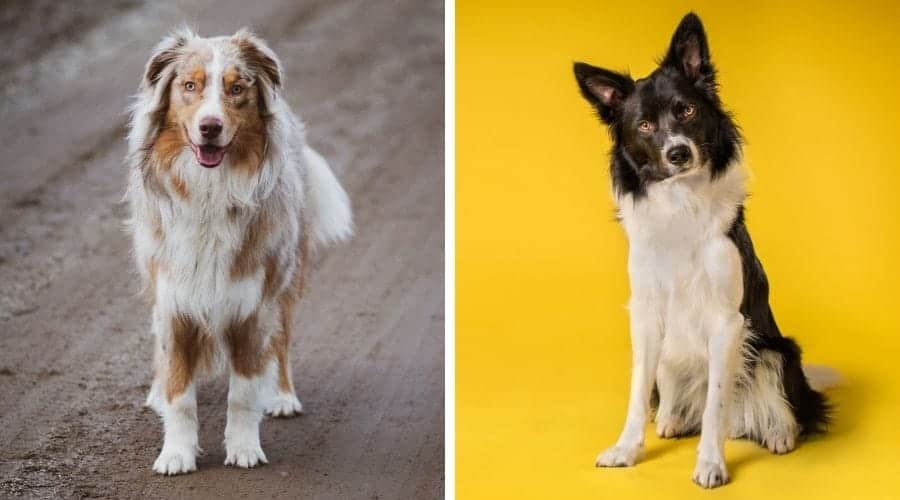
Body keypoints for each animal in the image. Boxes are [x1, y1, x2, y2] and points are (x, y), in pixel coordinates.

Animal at [576, 13, 836, 490]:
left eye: (687, 110)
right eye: (644, 126)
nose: (678, 152)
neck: (682, 202)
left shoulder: (728, 321)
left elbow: (717, 404)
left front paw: (711, 464)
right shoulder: (646, 313)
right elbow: (637, 392)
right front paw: (627, 449)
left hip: (777, 351)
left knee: (780, 406)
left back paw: (779, 433)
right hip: (673, 358)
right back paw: (672, 420)